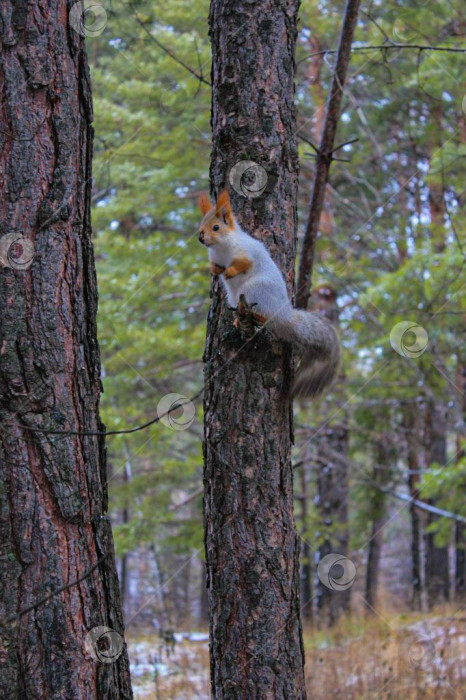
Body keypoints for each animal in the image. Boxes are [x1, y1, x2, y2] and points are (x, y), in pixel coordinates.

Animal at [197, 189, 338, 400]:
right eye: (201, 226)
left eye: (216, 227)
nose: (201, 238)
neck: (221, 248)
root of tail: (285, 315)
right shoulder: (215, 257)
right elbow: (215, 266)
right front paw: (217, 271)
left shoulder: (247, 252)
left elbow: (243, 264)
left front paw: (230, 272)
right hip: (236, 297)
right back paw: (238, 320)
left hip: (255, 290)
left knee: (265, 316)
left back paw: (257, 315)